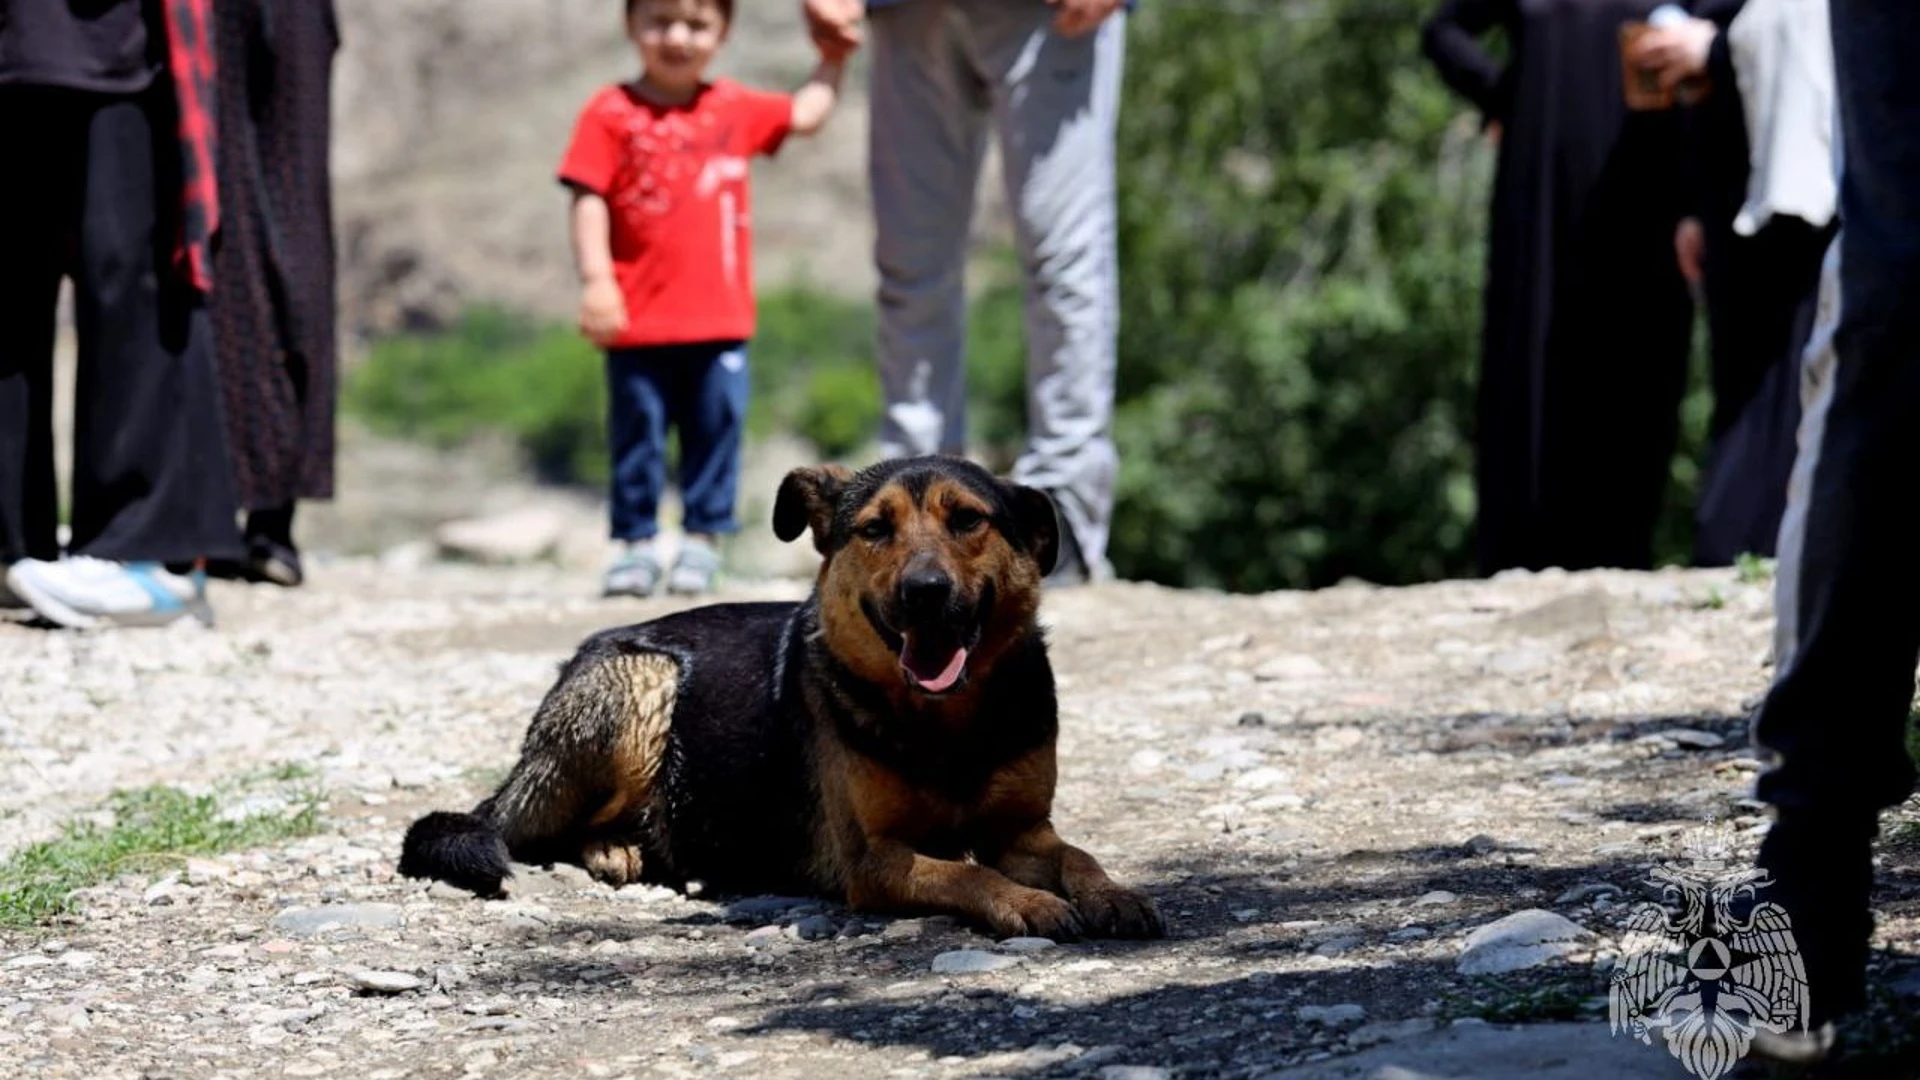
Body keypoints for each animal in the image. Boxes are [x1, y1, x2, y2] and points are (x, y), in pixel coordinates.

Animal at [397, 449, 1159, 937]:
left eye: (969, 520)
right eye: (875, 529)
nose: (924, 592)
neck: (945, 722)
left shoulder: (1022, 831)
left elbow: (1078, 856)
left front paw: (1113, 893)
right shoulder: (877, 859)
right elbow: (966, 876)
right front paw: (1025, 903)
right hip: (642, 690)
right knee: (538, 830)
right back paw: (613, 846)